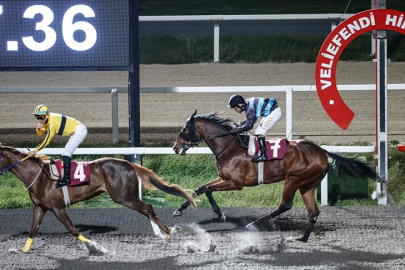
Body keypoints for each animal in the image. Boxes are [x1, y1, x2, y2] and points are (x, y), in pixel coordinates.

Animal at [0, 144, 196, 252]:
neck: (40, 177)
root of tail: (129, 163)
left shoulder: (57, 207)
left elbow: (73, 229)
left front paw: (95, 247)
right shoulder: (39, 208)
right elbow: (33, 230)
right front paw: (23, 250)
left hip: (122, 196)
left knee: (147, 208)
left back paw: (167, 233)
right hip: (126, 195)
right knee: (147, 209)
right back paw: (164, 233)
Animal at [170, 110, 376, 242]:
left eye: (185, 129)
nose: (175, 147)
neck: (229, 147)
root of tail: (322, 151)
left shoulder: (236, 183)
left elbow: (208, 189)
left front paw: (220, 214)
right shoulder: (224, 178)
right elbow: (201, 188)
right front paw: (180, 209)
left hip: (293, 179)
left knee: (285, 205)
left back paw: (254, 224)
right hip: (308, 185)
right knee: (313, 212)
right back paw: (302, 238)